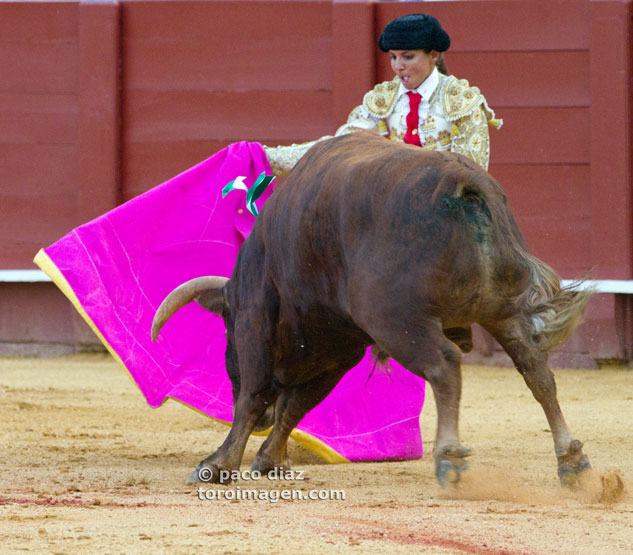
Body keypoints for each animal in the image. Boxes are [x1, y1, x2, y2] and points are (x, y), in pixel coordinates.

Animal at [151, 132, 592, 488]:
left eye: (226, 329)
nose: (262, 428)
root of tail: (462, 182)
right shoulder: (340, 348)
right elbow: (296, 405)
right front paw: (269, 460)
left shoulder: (257, 318)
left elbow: (255, 395)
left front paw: (218, 465)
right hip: (501, 312)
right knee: (536, 371)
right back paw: (571, 460)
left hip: (398, 321)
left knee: (445, 364)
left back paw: (449, 457)